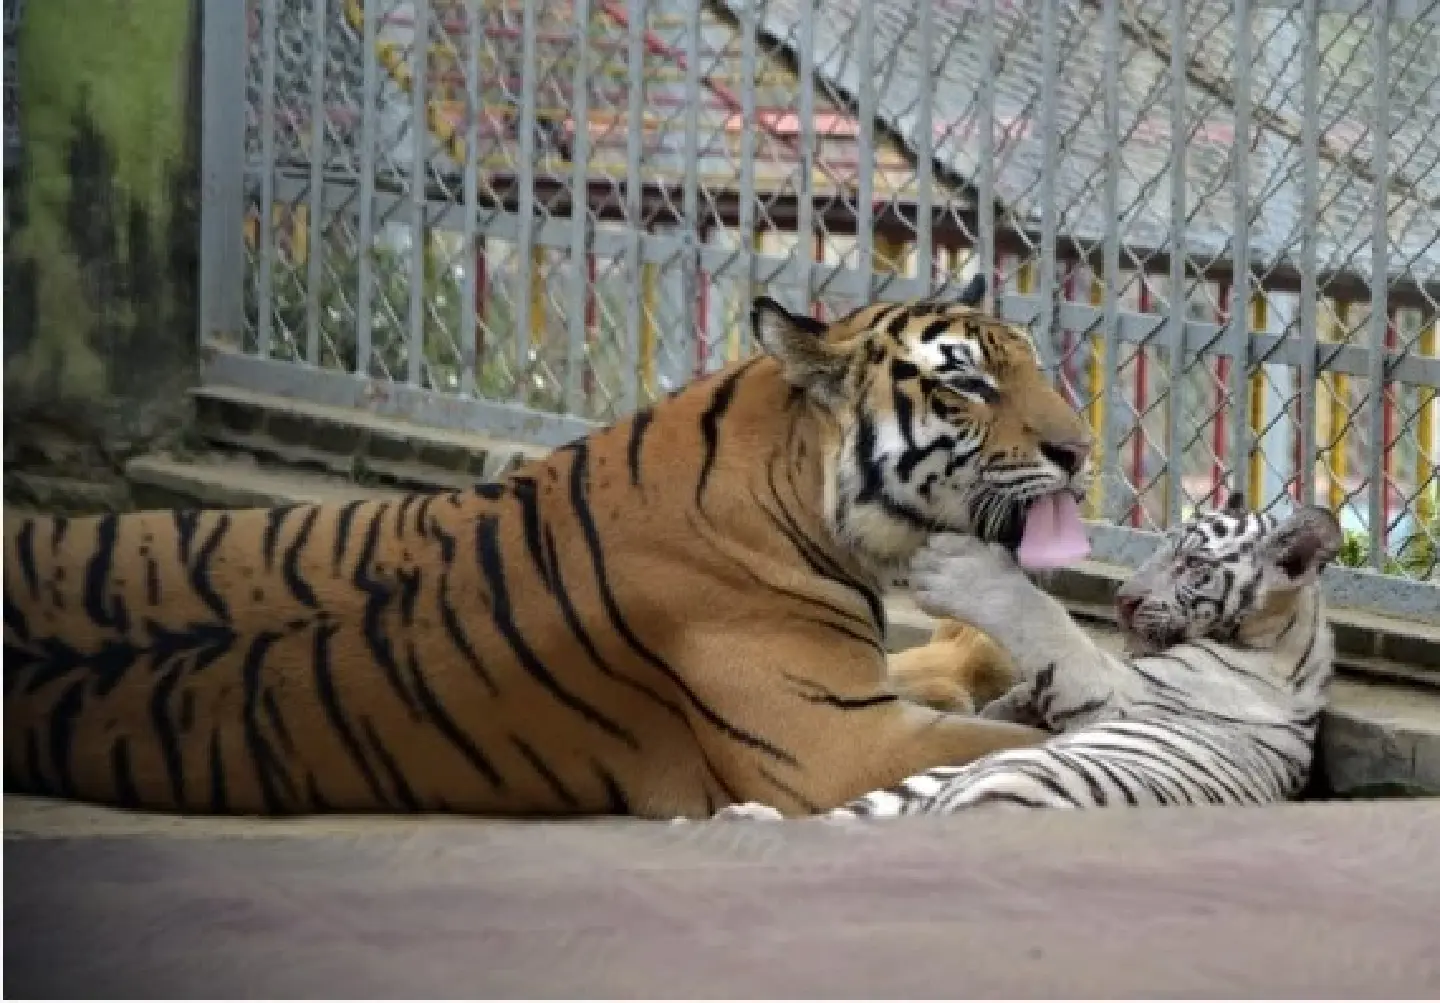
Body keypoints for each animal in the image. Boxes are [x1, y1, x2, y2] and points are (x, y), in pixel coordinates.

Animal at [3, 283, 1096, 820]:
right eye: (967, 384)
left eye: (1036, 365)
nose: (1081, 450)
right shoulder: (842, 741)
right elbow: (1000, 743)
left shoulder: (859, 682)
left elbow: (951, 677)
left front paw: (999, 661)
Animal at [708, 493, 1341, 821]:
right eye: (1159, 550)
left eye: (1192, 566)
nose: (1123, 599)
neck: (1287, 641)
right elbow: (1015, 695)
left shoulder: (1113, 693)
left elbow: (1049, 625)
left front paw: (964, 569)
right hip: (925, 782)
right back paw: (746, 817)